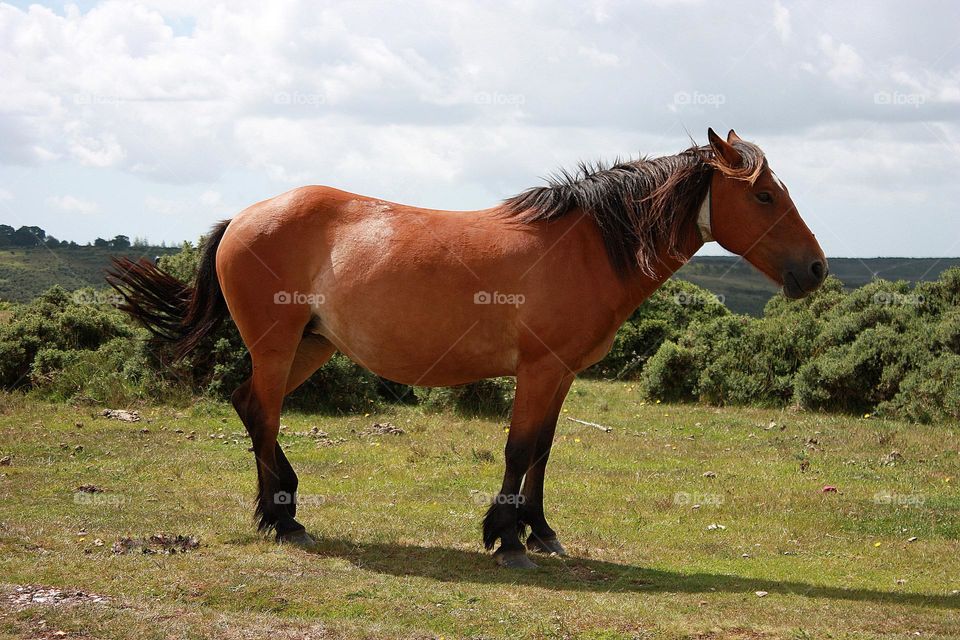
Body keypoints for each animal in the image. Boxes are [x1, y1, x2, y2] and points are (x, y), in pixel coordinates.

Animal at [108, 128, 827, 569]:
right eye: (765, 195)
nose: (816, 270)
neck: (585, 245)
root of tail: (243, 217)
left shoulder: (561, 374)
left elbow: (543, 451)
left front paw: (541, 530)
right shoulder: (537, 370)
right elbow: (517, 450)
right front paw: (506, 537)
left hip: (308, 347)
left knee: (250, 407)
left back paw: (278, 513)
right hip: (278, 345)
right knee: (262, 414)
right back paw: (284, 520)